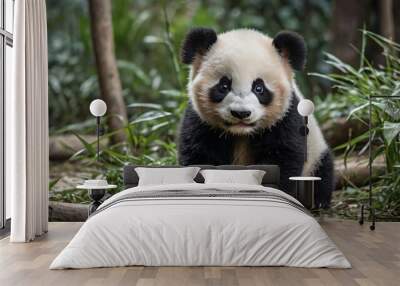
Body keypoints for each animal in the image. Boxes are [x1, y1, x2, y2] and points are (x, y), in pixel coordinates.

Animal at [178, 27, 334, 207]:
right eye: (224, 85)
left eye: (259, 88)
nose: (241, 113)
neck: (241, 133)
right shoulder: (201, 122)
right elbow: (199, 155)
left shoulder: (286, 119)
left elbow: (282, 159)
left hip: (315, 153)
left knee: (323, 171)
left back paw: (320, 201)